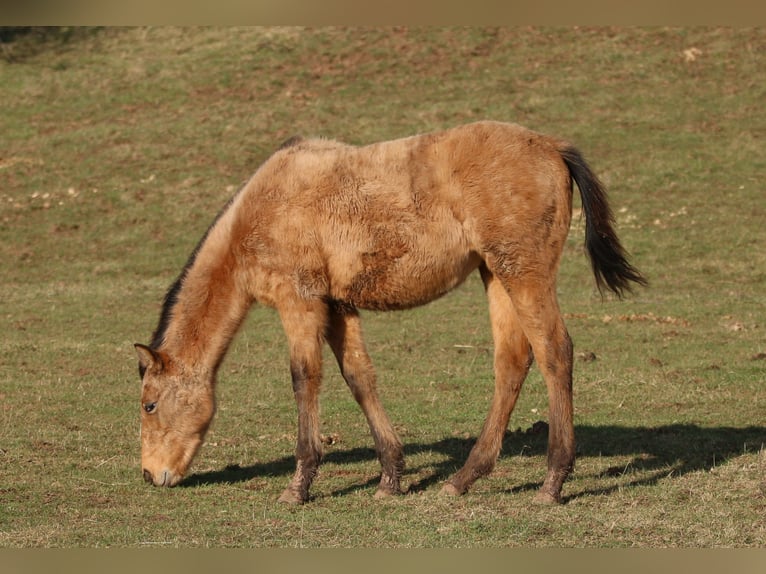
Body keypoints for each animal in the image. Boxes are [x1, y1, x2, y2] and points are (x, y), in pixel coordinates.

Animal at [135, 120, 644, 504]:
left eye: (149, 404)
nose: (149, 474)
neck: (264, 208)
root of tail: (552, 146)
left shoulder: (299, 299)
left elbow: (304, 379)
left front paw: (298, 486)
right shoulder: (337, 304)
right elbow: (359, 376)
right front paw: (391, 477)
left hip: (524, 273)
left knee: (555, 351)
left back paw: (552, 482)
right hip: (496, 274)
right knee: (513, 361)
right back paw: (463, 479)